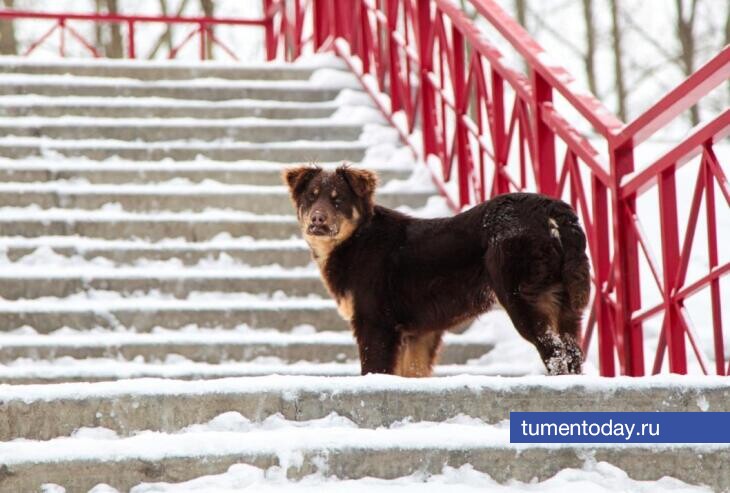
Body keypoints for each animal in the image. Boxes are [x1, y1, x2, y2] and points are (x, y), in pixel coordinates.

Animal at [282, 163, 588, 374]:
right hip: (565, 307)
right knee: (572, 353)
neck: (357, 238)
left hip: (522, 299)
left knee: (556, 353)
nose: (317, 219)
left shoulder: (376, 324)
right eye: (311, 198)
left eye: (338, 200)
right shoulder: (417, 335)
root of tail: (549, 206)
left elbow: (374, 370)